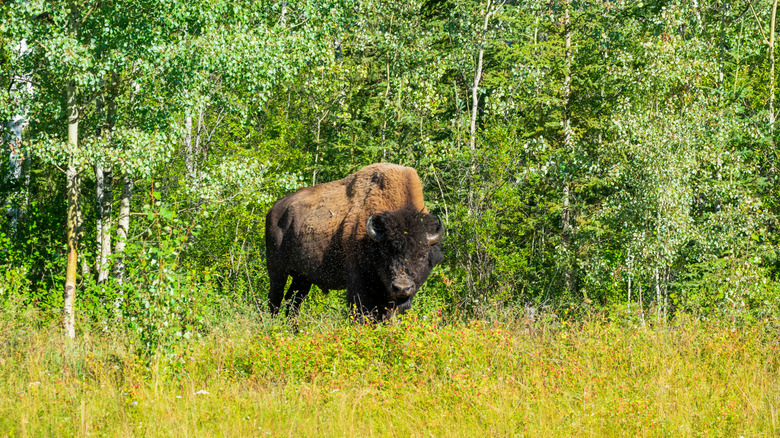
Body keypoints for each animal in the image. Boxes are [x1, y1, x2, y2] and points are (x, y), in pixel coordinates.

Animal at [265, 163, 444, 321]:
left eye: (422, 255)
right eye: (385, 252)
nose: (402, 287)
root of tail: (274, 209)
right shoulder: (359, 283)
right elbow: (362, 312)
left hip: (302, 277)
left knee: (293, 301)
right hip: (277, 270)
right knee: (275, 299)